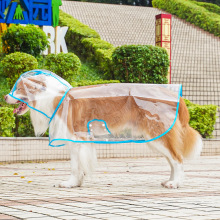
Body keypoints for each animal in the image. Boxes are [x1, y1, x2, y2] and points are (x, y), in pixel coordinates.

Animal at [3, 70, 203, 189]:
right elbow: (79, 165)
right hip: (156, 138)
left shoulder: (76, 137)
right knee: (173, 160)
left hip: (158, 134)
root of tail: (173, 95)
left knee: (178, 159)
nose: (4, 96)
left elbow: (75, 166)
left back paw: (175, 183)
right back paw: (170, 180)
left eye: (18, 89)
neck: (56, 97)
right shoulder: (78, 140)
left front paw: (70, 183)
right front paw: (77, 183)